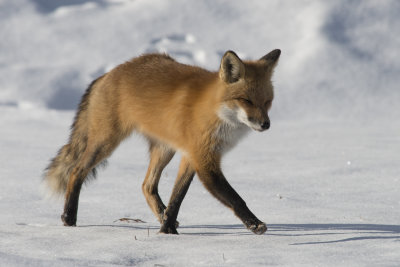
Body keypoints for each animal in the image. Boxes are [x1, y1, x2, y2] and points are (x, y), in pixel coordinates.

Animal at [43, 49, 282, 236]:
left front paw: (167, 231)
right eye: (246, 100)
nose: (266, 124)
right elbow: (234, 198)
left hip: (164, 150)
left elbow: (177, 196)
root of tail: (108, 73)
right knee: (76, 171)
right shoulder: (204, 161)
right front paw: (255, 224)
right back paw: (69, 218)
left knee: (147, 185)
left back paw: (162, 215)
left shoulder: (191, 156)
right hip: (106, 143)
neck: (214, 111)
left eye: (267, 102)